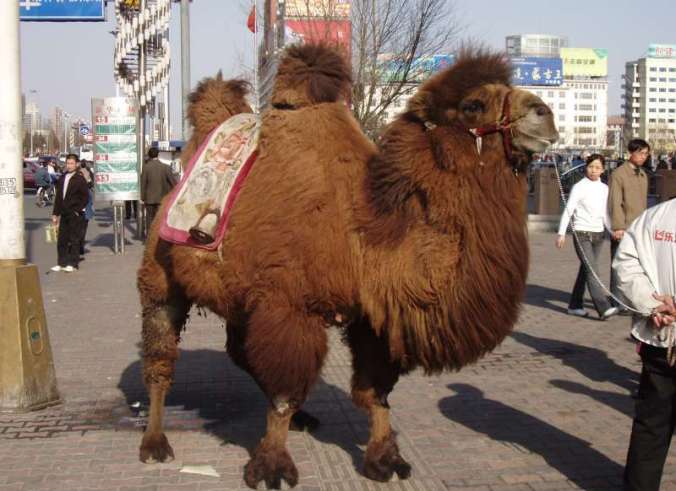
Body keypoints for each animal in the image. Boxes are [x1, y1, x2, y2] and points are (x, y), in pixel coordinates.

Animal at [137, 44, 559, 489]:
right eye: (472, 104)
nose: (544, 113)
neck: (364, 238)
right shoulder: (287, 306)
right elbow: (285, 391)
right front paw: (272, 466)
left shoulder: (370, 316)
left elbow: (375, 393)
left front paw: (385, 459)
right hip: (160, 277)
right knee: (162, 356)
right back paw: (155, 443)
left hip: (239, 297)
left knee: (239, 350)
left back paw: (303, 418)